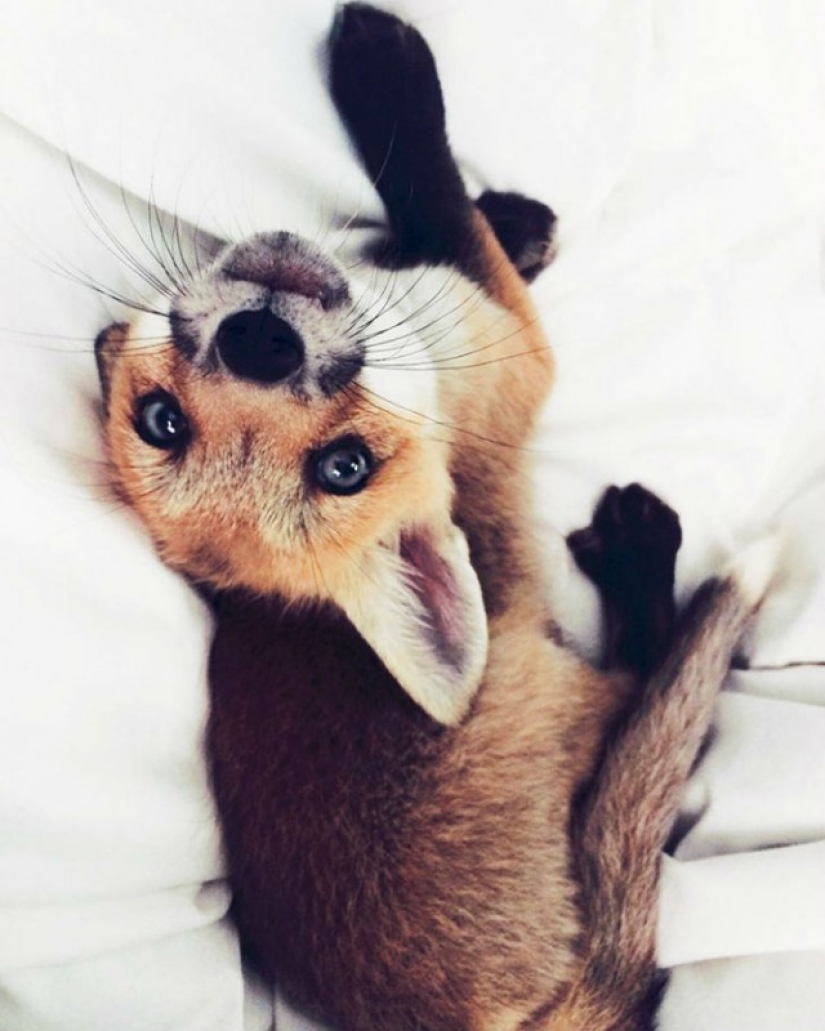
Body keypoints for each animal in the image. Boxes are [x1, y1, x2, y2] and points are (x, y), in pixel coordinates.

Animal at [94, 5, 776, 1029]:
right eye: (346, 466)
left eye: (157, 421)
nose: (259, 341)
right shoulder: (517, 341)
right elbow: (435, 188)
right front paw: (385, 67)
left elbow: (451, 223)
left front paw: (517, 219)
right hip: (564, 689)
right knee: (645, 678)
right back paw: (638, 554)